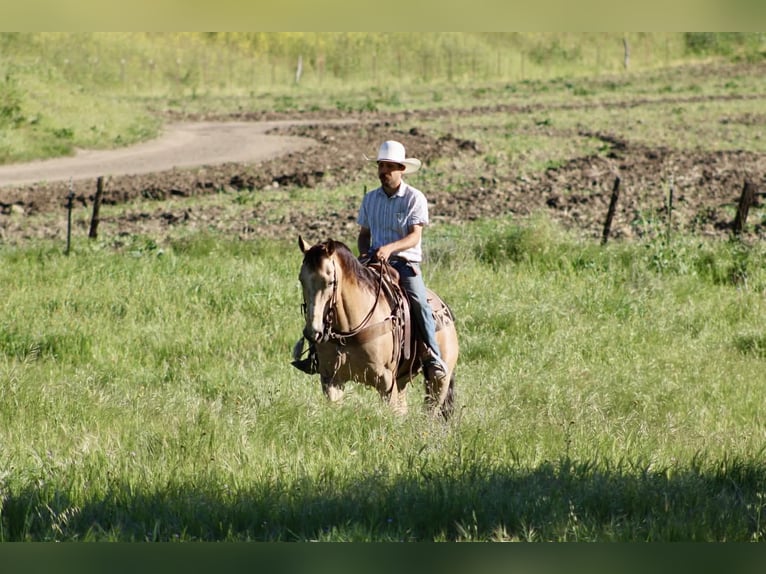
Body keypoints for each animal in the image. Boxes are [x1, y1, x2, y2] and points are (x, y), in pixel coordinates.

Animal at [294, 236, 459, 419]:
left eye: (330, 282)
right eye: (301, 280)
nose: (313, 332)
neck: (348, 332)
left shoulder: (386, 382)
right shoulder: (331, 380)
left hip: (438, 380)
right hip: (401, 381)